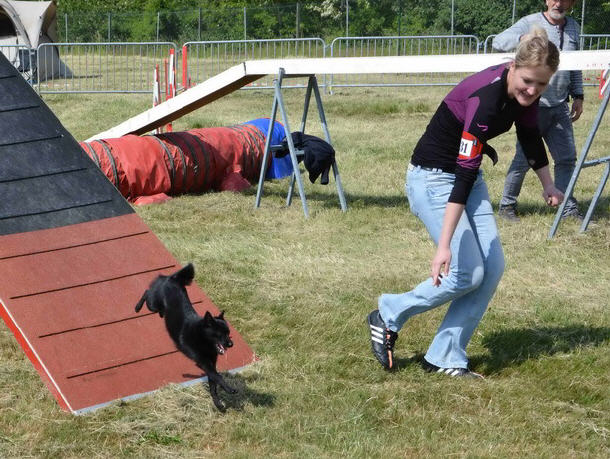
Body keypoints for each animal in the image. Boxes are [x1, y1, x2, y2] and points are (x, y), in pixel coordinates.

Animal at [134, 264, 236, 412]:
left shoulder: (210, 364)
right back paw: (137, 307)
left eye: (228, 332)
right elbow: (218, 376)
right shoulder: (203, 362)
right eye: (220, 334)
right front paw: (230, 389)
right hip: (152, 304)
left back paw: (161, 314)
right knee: (147, 292)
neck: (202, 338)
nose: (231, 344)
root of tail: (172, 278)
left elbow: (213, 385)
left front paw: (218, 404)